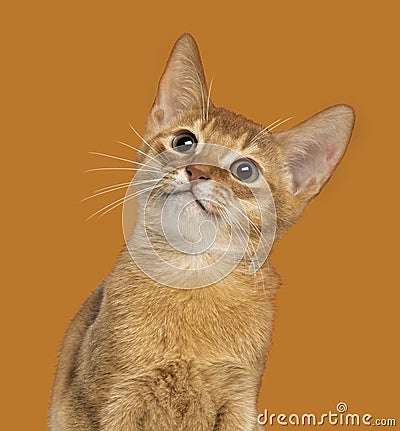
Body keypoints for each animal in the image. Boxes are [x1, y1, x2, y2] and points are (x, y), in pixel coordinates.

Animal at [49, 34, 354, 431]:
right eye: (184, 141)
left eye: (245, 170)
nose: (197, 171)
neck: (192, 277)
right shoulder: (106, 401)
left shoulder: (240, 403)